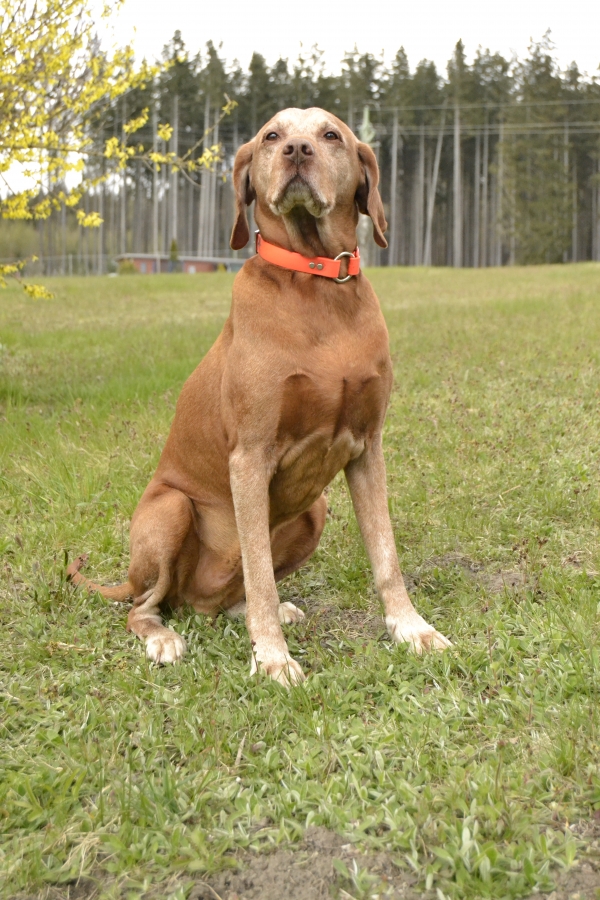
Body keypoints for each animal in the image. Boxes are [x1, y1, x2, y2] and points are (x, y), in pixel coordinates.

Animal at [68, 107, 451, 685]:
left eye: (330, 135)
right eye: (272, 135)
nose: (296, 151)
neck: (317, 284)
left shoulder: (368, 447)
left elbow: (386, 556)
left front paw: (412, 629)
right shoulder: (249, 457)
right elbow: (261, 575)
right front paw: (272, 658)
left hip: (314, 511)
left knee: (221, 597)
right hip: (171, 510)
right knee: (145, 605)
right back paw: (163, 637)